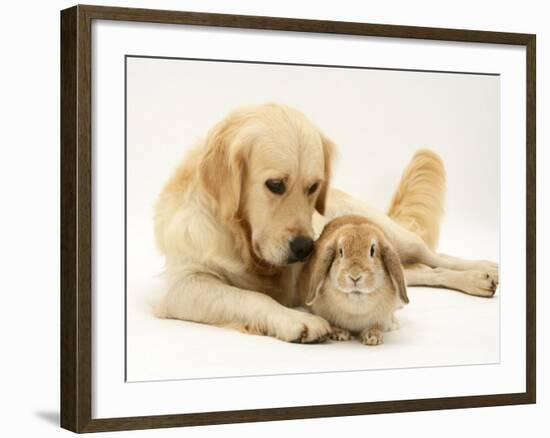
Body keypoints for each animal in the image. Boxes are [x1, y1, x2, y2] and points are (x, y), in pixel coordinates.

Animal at [298, 216, 410, 346]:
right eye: (340, 251)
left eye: (372, 250)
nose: (355, 276)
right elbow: (331, 323)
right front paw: (339, 334)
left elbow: (377, 326)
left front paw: (372, 337)